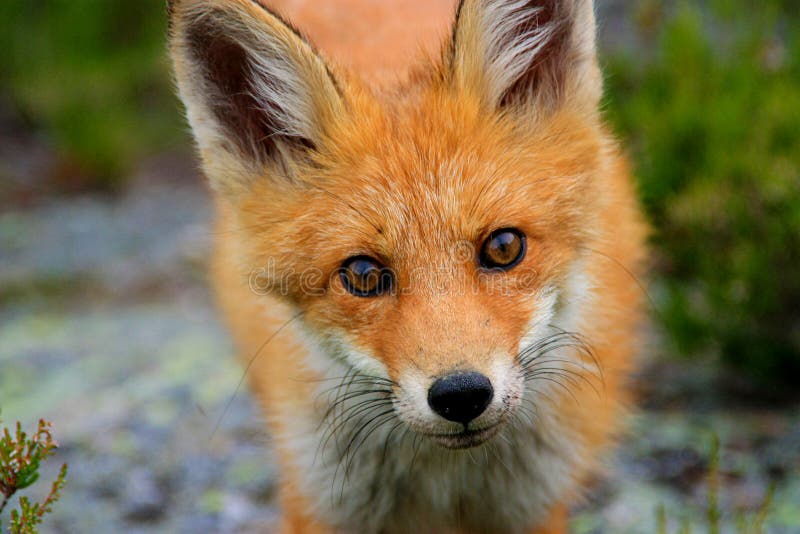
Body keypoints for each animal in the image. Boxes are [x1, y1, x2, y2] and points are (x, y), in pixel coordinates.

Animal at [167, 1, 644, 532]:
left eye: (503, 247)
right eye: (363, 275)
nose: (461, 394)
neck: (447, 483)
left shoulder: (533, 505)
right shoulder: (321, 502)